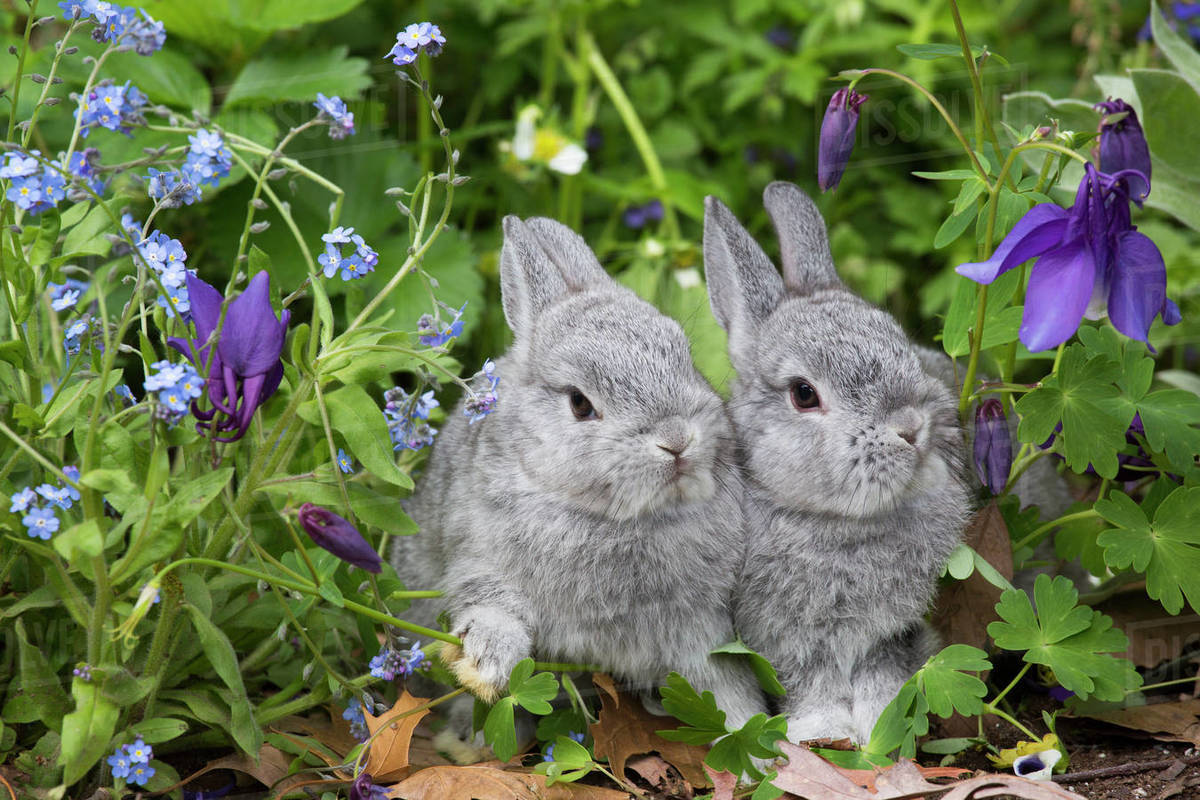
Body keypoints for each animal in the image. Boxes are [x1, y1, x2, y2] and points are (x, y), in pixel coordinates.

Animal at [392, 215, 767, 756]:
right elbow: (489, 609)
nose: (677, 440)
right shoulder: (477, 563)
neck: (612, 517)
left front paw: (755, 745)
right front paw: (483, 667)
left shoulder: (701, 627)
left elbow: (723, 687)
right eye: (579, 403)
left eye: (684, 357)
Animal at [702, 181, 971, 745]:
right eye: (804, 394)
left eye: (902, 347)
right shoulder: (786, 638)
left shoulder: (889, 632)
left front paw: (883, 725)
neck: (836, 524)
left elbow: (879, 673)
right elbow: (811, 682)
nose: (912, 428)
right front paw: (823, 732)